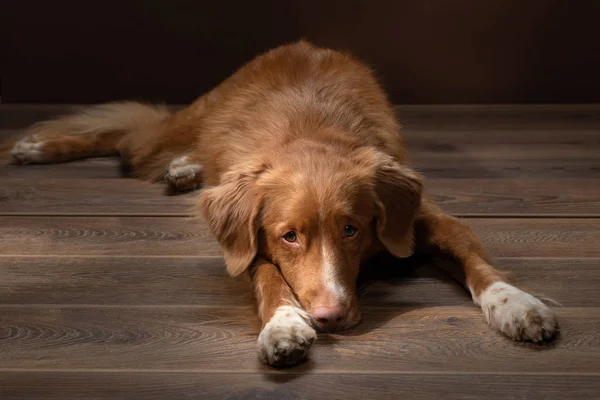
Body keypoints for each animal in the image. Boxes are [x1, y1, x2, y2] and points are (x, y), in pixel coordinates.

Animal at [10, 39, 556, 366]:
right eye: (288, 235)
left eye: (352, 229)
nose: (331, 317)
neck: (311, 136)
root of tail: (297, 47)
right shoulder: (248, 238)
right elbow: (267, 274)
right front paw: (284, 324)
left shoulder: (419, 215)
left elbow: (472, 256)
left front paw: (517, 304)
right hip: (183, 124)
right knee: (127, 132)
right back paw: (37, 147)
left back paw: (183, 169)